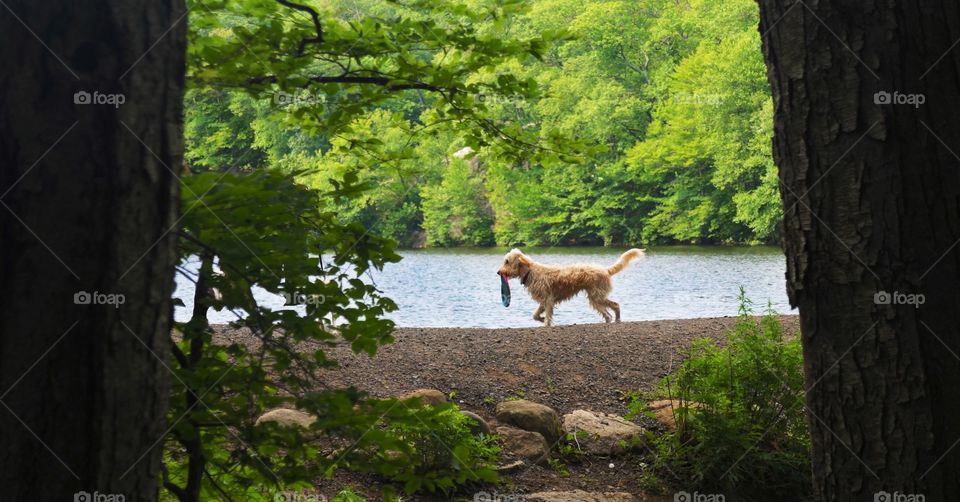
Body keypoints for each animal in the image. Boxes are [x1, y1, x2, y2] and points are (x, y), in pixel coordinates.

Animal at [496, 249, 644, 328]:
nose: (498, 272)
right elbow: (535, 315)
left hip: (597, 296)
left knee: (615, 305)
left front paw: (546, 323)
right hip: (594, 298)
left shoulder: (548, 300)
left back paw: (618, 319)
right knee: (607, 314)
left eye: (507, 261)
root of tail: (605, 270)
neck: (530, 271)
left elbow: (546, 314)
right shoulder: (544, 300)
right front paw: (542, 320)